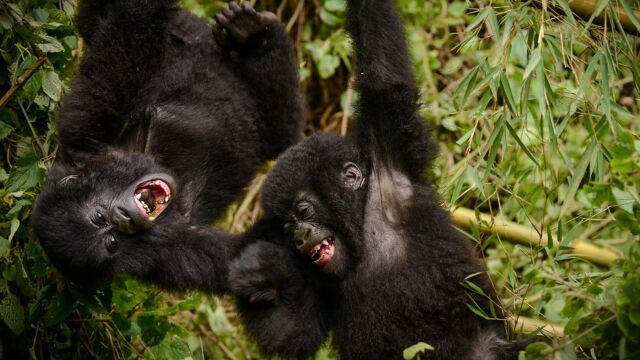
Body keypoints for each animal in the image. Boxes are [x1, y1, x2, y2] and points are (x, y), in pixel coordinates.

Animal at [33, 0, 304, 292]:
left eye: (99, 217)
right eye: (112, 242)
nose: (124, 218)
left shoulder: (85, 128)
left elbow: (129, 38)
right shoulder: (168, 257)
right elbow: (244, 258)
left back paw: (253, 32)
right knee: (283, 130)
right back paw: (260, 36)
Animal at [229, 0, 524, 358]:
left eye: (303, 211)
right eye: (286, 227)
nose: (299, 236)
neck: (361, 228)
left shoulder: (390, 161)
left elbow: (382, 73)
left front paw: (254, 33)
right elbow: (292, 331)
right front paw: (258, 272)